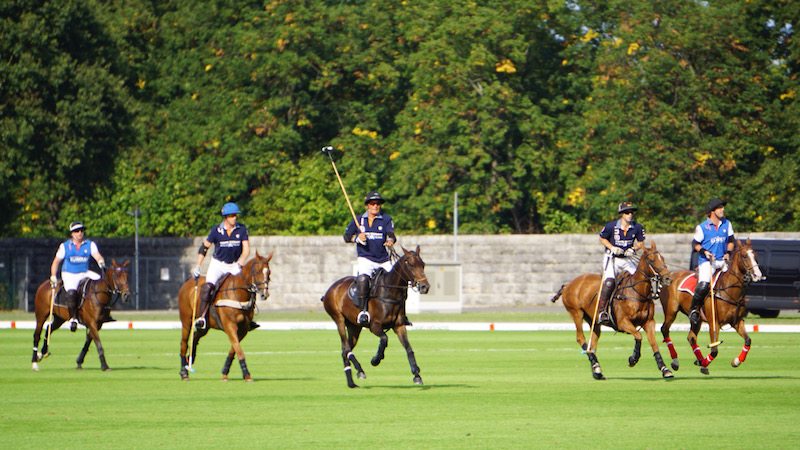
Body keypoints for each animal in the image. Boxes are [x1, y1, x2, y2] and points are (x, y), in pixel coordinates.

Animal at [177, 251, 272, 382]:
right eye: (257, 271)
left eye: (269, 272)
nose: (264, 294)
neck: (238, 294)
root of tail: (187, 282)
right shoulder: (229, 325)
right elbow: (238, 349)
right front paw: (247, 374)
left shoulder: (243, 329)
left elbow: (234, 349)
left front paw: (225, 372)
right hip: (186, 321)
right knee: (184, 343)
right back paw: (184, 372)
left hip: (205, 326)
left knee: (195, 337)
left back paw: (189, 362)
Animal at [320, 244, 432, 388]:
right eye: (411, 265)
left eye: (423, 264)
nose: (425, 287)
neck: (390, 292)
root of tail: (331, 289)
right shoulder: (374, 326)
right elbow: (384, 339)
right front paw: (376, 359)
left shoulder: (399, 326)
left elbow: (408, 348)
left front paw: (416, 374)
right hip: (338, 319)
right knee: (346, 347)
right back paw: (358, 372)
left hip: (354, 326)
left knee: (345, 350)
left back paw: (352, 380)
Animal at [548, 243, 672, 380]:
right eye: (651, 260)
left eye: (663, 258)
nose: (668, 278)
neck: (637, 293)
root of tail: (568, 284)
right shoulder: (623, 323)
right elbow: (638, 336)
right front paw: (633, 359)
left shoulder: (649, 322)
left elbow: (654, 343)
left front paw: (665, 369)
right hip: (576, 313)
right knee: (580, 338)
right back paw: (596, 366)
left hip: (593, 319)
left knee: (593, 340)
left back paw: (596, 370)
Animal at [660, 241, 764, 374]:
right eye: (744, 256)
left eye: (755, 255)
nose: (757, 275)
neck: (728, 290)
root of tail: (670, 275)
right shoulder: (714, 323)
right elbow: (714, 351)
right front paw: (704, 363)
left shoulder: (737, 322)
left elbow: (748, 340)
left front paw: (736, 361)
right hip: (671, 311)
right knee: (665, 329)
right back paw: (676, 361)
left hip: (696, 319)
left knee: (691, 337)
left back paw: (699, 360)